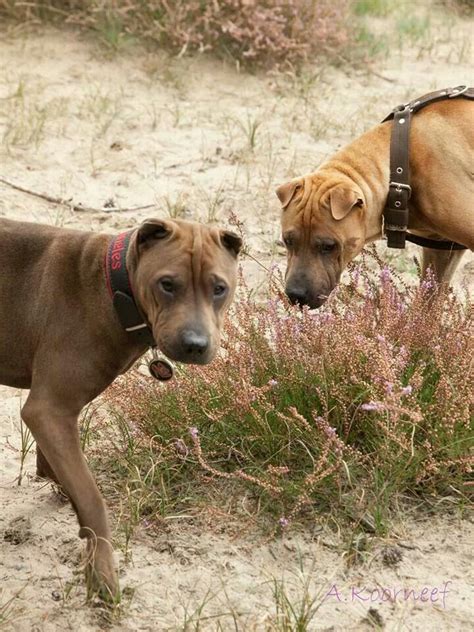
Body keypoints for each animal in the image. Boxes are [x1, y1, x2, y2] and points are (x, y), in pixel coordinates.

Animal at [0, 216, 243, 596]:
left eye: (219, 288)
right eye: (167, 284)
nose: (195, 344)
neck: (114, 290)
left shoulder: (52, 413)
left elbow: (62, 472)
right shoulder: (50, 408)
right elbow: (92, 498)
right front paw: (102, 571)